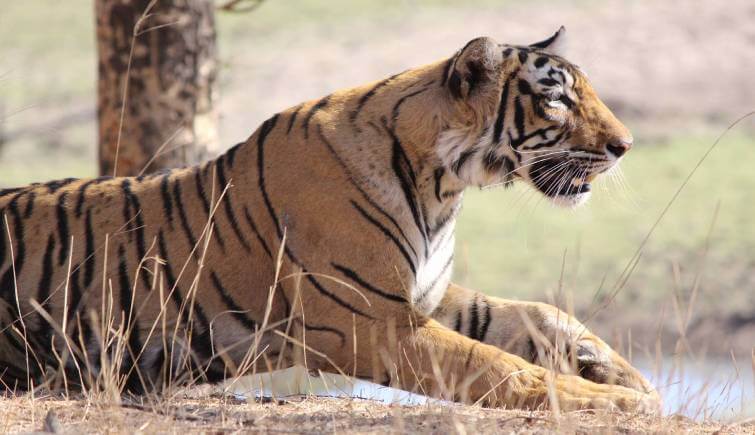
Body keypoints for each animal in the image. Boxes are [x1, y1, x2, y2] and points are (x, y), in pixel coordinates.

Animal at [0, 27, 660, 412]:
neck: (444, 188)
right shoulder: (366, 320)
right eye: (557, 100)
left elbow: (535, 316)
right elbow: (495, 363)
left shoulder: (422, 295)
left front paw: (619, 374)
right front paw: (603, 399)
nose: (627, 145)